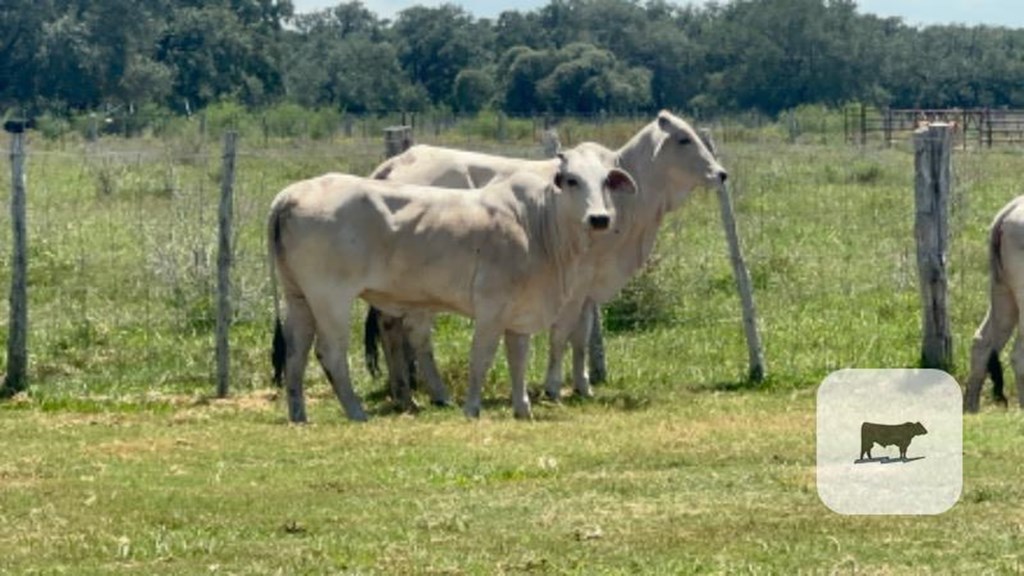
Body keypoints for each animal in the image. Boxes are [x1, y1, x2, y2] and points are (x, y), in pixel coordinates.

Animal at [268, 147, 634, 420]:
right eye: (572, 180)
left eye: (606, 181)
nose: (599, 218)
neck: (536, 224)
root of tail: (290, 194)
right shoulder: (491, 308)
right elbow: (482, 357)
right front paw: (472, 409)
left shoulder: (520, 313)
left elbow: (518, 359)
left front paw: (523, 409)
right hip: (331, 299)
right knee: (330, 352)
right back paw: (357, 411)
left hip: (298, 297)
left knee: (296, 353)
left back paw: (299, 415)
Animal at [364, 108, 724, 403]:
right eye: (684, 139)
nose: (721, 174)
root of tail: (396, 162)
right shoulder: (570, 285)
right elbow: (561, 335)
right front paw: (553, 387)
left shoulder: (587, 288)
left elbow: (582, 336)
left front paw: (583, 385)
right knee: (409, 332)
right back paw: (427, 394)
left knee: (392, 327)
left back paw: (405, 393)